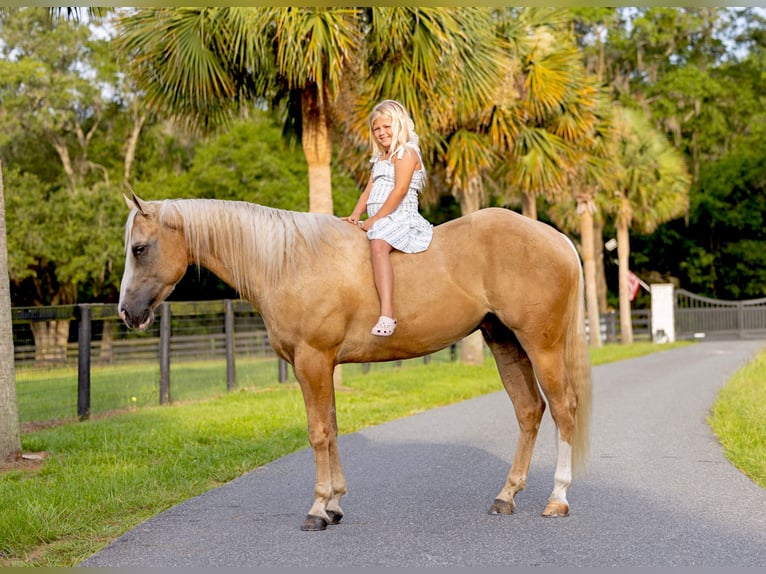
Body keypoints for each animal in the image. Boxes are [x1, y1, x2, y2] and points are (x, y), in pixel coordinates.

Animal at [118, 193, 592, 531]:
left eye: (139, 249)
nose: (126, 312)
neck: (291, 262)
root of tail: (558, 239)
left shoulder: (311, 361)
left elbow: (318, 432)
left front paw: (317, 509)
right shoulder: (320, 366)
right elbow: (331, 428)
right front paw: (335, 504)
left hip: (541, 346)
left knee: (563, 410)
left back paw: (558, 500)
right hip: (504, 342)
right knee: (529, 410)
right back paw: (506, 497)